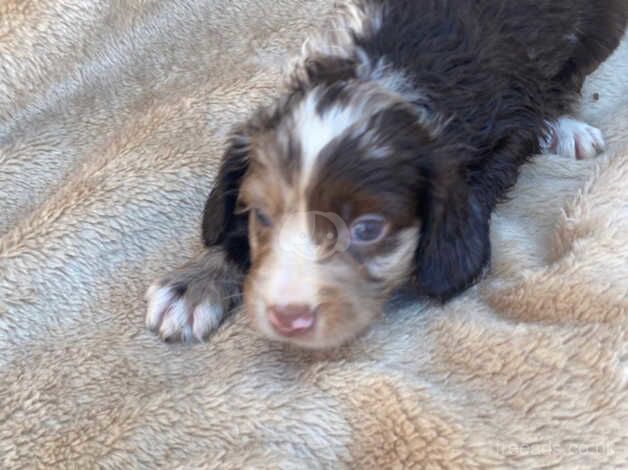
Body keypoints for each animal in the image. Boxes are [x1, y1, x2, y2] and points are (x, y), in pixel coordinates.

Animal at [146, 0, 624, 348]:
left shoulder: (510, 123)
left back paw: (567, 128)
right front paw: (195, 283)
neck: (385, 72)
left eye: (367, 229)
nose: (288, 315)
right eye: (262, 216)